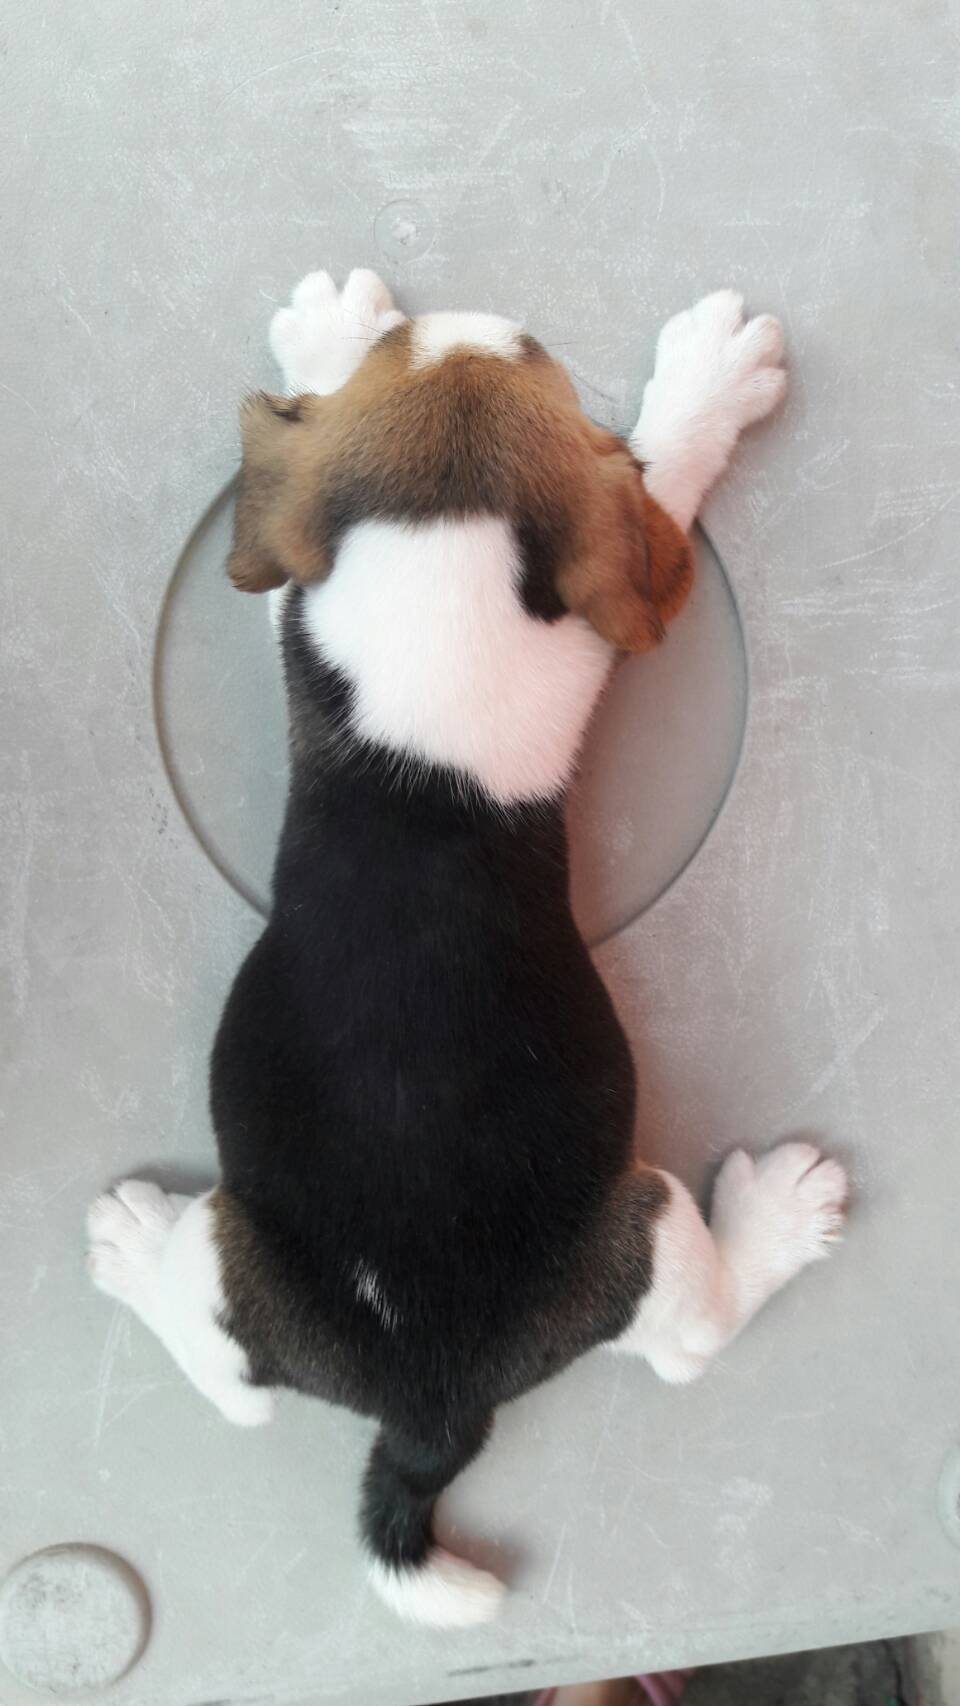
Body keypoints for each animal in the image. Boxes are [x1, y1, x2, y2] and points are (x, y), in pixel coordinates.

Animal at [87, 270, 847, 1628]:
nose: (481, 325)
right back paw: (776, 1214)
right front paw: (709, 381)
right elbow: (663, 471)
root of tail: (429, 1404)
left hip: (242, 1248)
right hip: (639, 1219)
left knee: (234, 1393)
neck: (437, 565)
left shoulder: (313, 607)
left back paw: (131, 1251)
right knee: (693, 1339)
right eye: (536, 366)